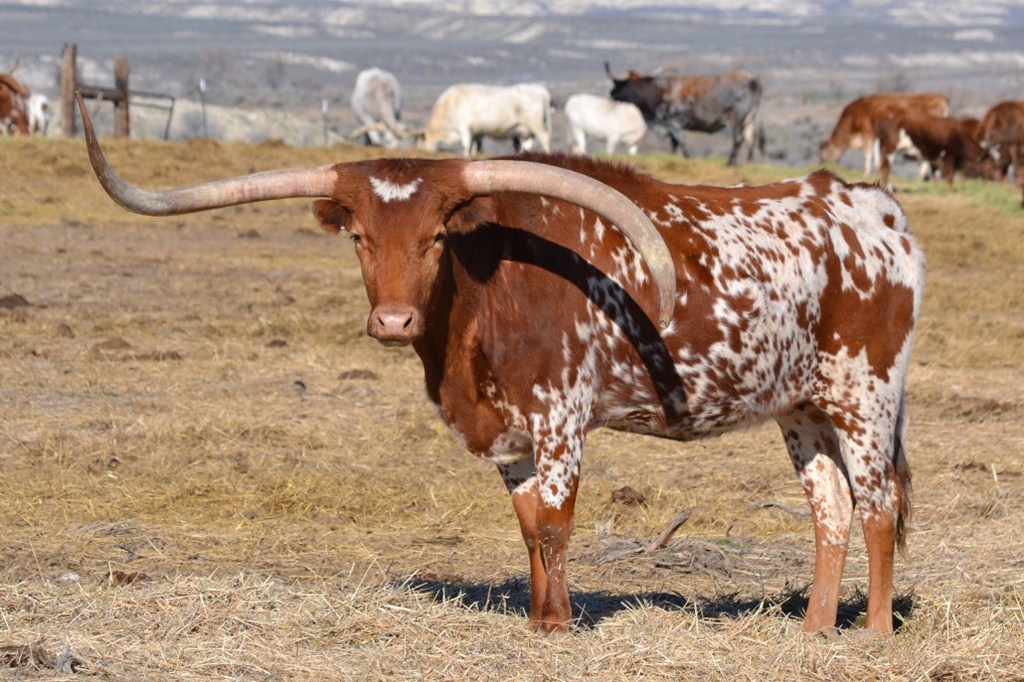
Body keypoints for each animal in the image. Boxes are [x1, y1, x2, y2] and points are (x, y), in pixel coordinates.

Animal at [78, 91, 923, 637]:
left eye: (435, 237)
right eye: (358, 236)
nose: (392, 320)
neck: (484, 299)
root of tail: (877, 209)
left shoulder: (559, 418)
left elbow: (556, 523)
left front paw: (558, 629)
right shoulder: (509, 437)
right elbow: (526, 530)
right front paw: (543, 616)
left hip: (867, 395)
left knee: (879, 506)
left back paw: (875, 633)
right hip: (802, 408)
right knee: (831, 508)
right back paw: (814, 631)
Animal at [418, 83, 552, 156]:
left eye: (424, 139)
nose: (423, 150)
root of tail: (541, 91)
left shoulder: (464, 127)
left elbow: (466, 145)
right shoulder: (476, 131)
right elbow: (475, 146)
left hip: (538, 125)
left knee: (546, 139)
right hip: (525, 129)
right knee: (527, 144)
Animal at [605, 63, 762, 165]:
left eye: (619, 84)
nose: (611, 93)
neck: (655, 92)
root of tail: (750, 78)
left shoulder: (674, 124)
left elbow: (682, 145)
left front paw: (687, 160)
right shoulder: (671, 128)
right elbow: (674, 145)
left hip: (737, 119)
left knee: (738, 138)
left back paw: (730, 162)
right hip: (750, 119)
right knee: (751, 139)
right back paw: (749, 163)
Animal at [819, 93, 951, 176]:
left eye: (824, 154)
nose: (822, 164)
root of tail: (941, 98)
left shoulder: (867, 132)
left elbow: (867, 154)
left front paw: (865, 173)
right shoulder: (877, 138)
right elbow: (877, 157)